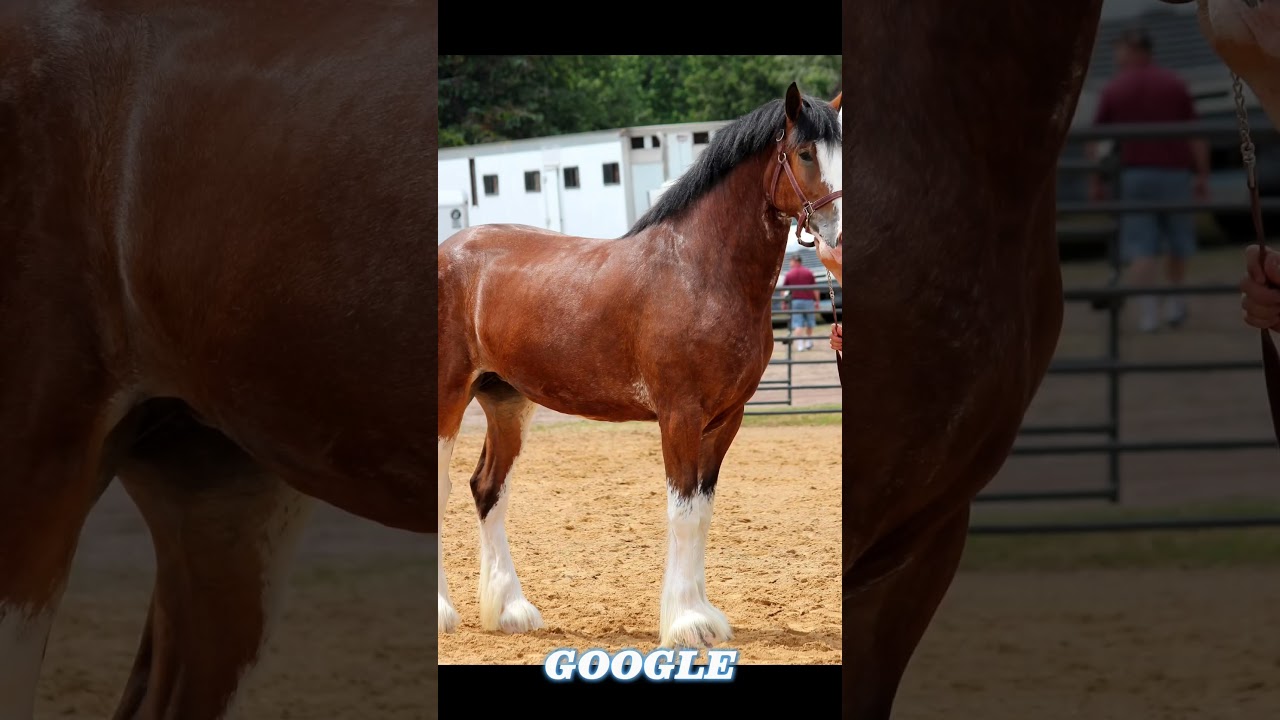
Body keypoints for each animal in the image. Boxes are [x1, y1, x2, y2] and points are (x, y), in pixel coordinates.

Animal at [436, 83, 842, 648]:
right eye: (805, 153)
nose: (840, 235)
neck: (699, 270)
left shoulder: (725, 420)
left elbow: (703, 512)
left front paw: (703, 615)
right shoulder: (679, 416)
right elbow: (683, 513)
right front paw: (686, 622)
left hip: (506, 401)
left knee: (488, 489)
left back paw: (512, 610)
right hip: (448, 395)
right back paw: (442, 613)